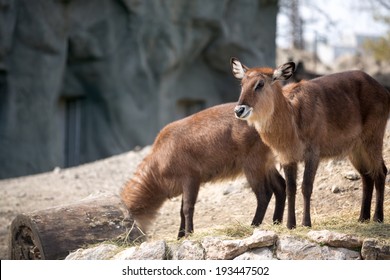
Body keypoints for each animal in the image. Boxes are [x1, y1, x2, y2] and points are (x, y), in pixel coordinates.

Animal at [121, 103, 286, 238]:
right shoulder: (184, 184)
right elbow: (181, 211)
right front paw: (180, 237)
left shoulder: (191, 178)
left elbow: (187, 208)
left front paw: (188, 234)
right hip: (266, 163)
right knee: (280, 186)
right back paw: (276, 222)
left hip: (252, 164)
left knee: (264, 194)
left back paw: (253, 225)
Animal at [232, 57, 390, 230]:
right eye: (242, 84)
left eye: (260, 84)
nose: (239, 110)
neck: (292, 117)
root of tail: (381, 88)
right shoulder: (287, 158)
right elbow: (291, 189)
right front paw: (290, 225)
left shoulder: (313, 154)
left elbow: (306, 187)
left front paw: (306, 223)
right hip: (355, 149)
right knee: (367, 176)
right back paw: (362, 218)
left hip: (372, 139)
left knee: (380, 172)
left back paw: (378, 218)